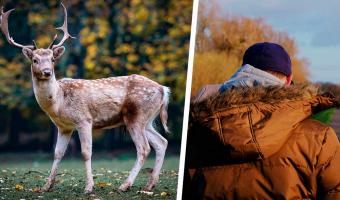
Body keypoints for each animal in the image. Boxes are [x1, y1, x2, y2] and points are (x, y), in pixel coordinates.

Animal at [0, 3, 170, 194]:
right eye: (35, 60)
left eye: (52, 59)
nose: (47, 72)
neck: (59, 103)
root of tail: (163, 89)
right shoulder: (63, 127)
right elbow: (58, 153)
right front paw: (46, 186)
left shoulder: (84, 120)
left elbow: (86, 153)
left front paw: (89, 187)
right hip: (147, 120)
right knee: (161, 142)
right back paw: (149, 185)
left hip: (137, 115)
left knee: (144, 148)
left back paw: (125, 185)